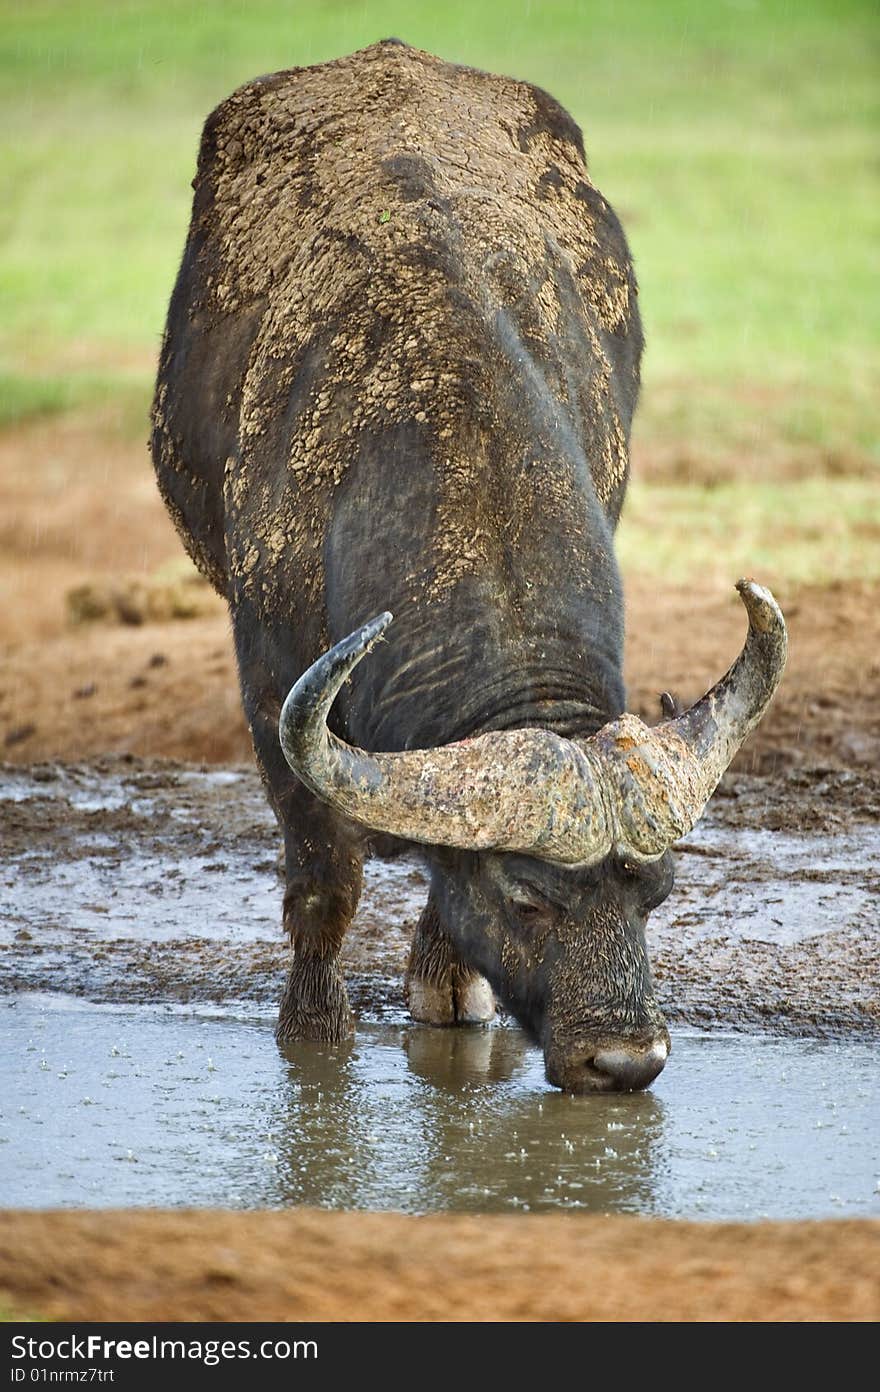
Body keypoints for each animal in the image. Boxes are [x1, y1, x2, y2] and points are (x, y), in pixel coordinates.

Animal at [149, 40, 785, 1085]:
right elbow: (324, 879)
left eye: (655, 894)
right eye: (529, 898)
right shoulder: (268, 680)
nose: (626, 1063)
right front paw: (313, 1031)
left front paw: (448, 983)